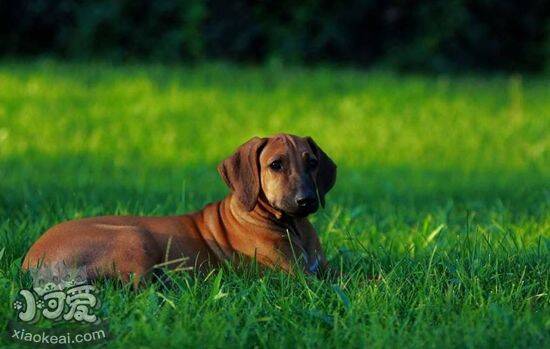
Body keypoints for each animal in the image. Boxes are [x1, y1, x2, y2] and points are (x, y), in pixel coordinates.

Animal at [23, 132, 338, 282]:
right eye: (276, 165)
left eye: (312, 162)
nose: (307, 200)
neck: (292, 225)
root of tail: (31, 262)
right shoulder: (295, 276)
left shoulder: (323, 269)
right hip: (134, 236)